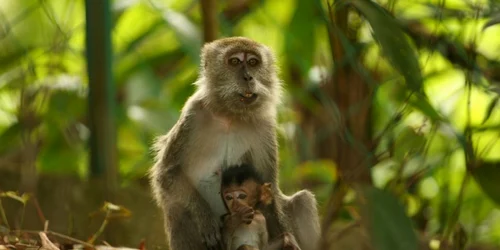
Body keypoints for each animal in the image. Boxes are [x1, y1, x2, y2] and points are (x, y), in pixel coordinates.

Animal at [149, 37, 320, 250]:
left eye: (253, 62)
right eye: (235, 62)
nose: (248, 77)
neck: (231, 115)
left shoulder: (264, 126)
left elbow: (268, 187)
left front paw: (286, 239)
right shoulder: (193, 114)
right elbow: (167, 173)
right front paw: (205, 218)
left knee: (303, 200)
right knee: (178, 209)